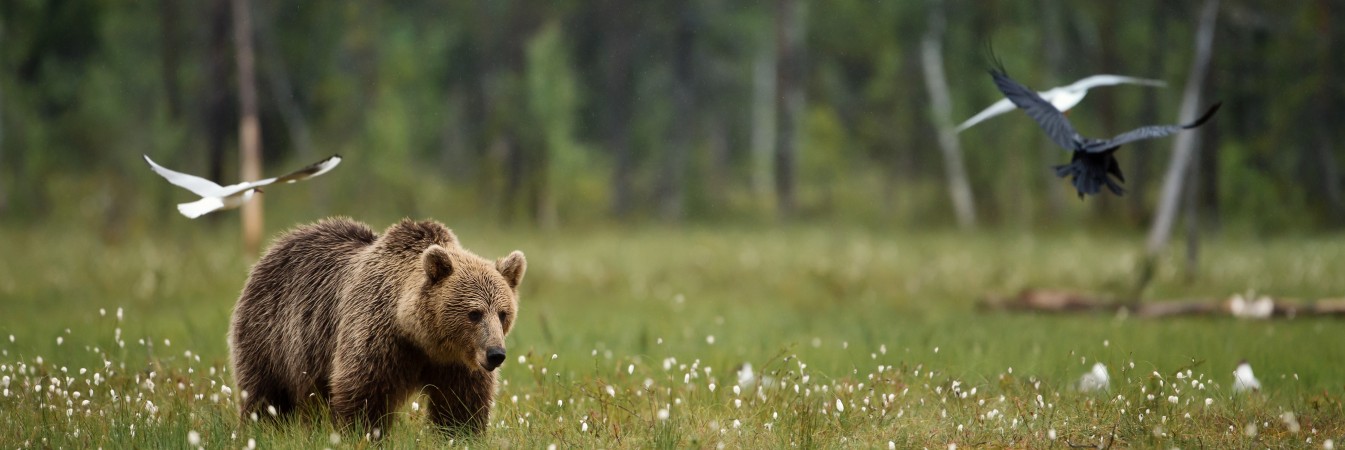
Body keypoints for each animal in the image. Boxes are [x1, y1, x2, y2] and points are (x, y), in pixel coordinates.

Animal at [228, 218, 527, 437]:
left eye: (503, 313)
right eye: (474, 313)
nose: (496, 354)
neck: (420, 337)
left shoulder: (457, 361)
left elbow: (460, 404)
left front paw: (460, 433)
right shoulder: (378, 335)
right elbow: (363, 391)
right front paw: (362, 433)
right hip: (272, 334)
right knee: (266, 393)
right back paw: (261, 428)